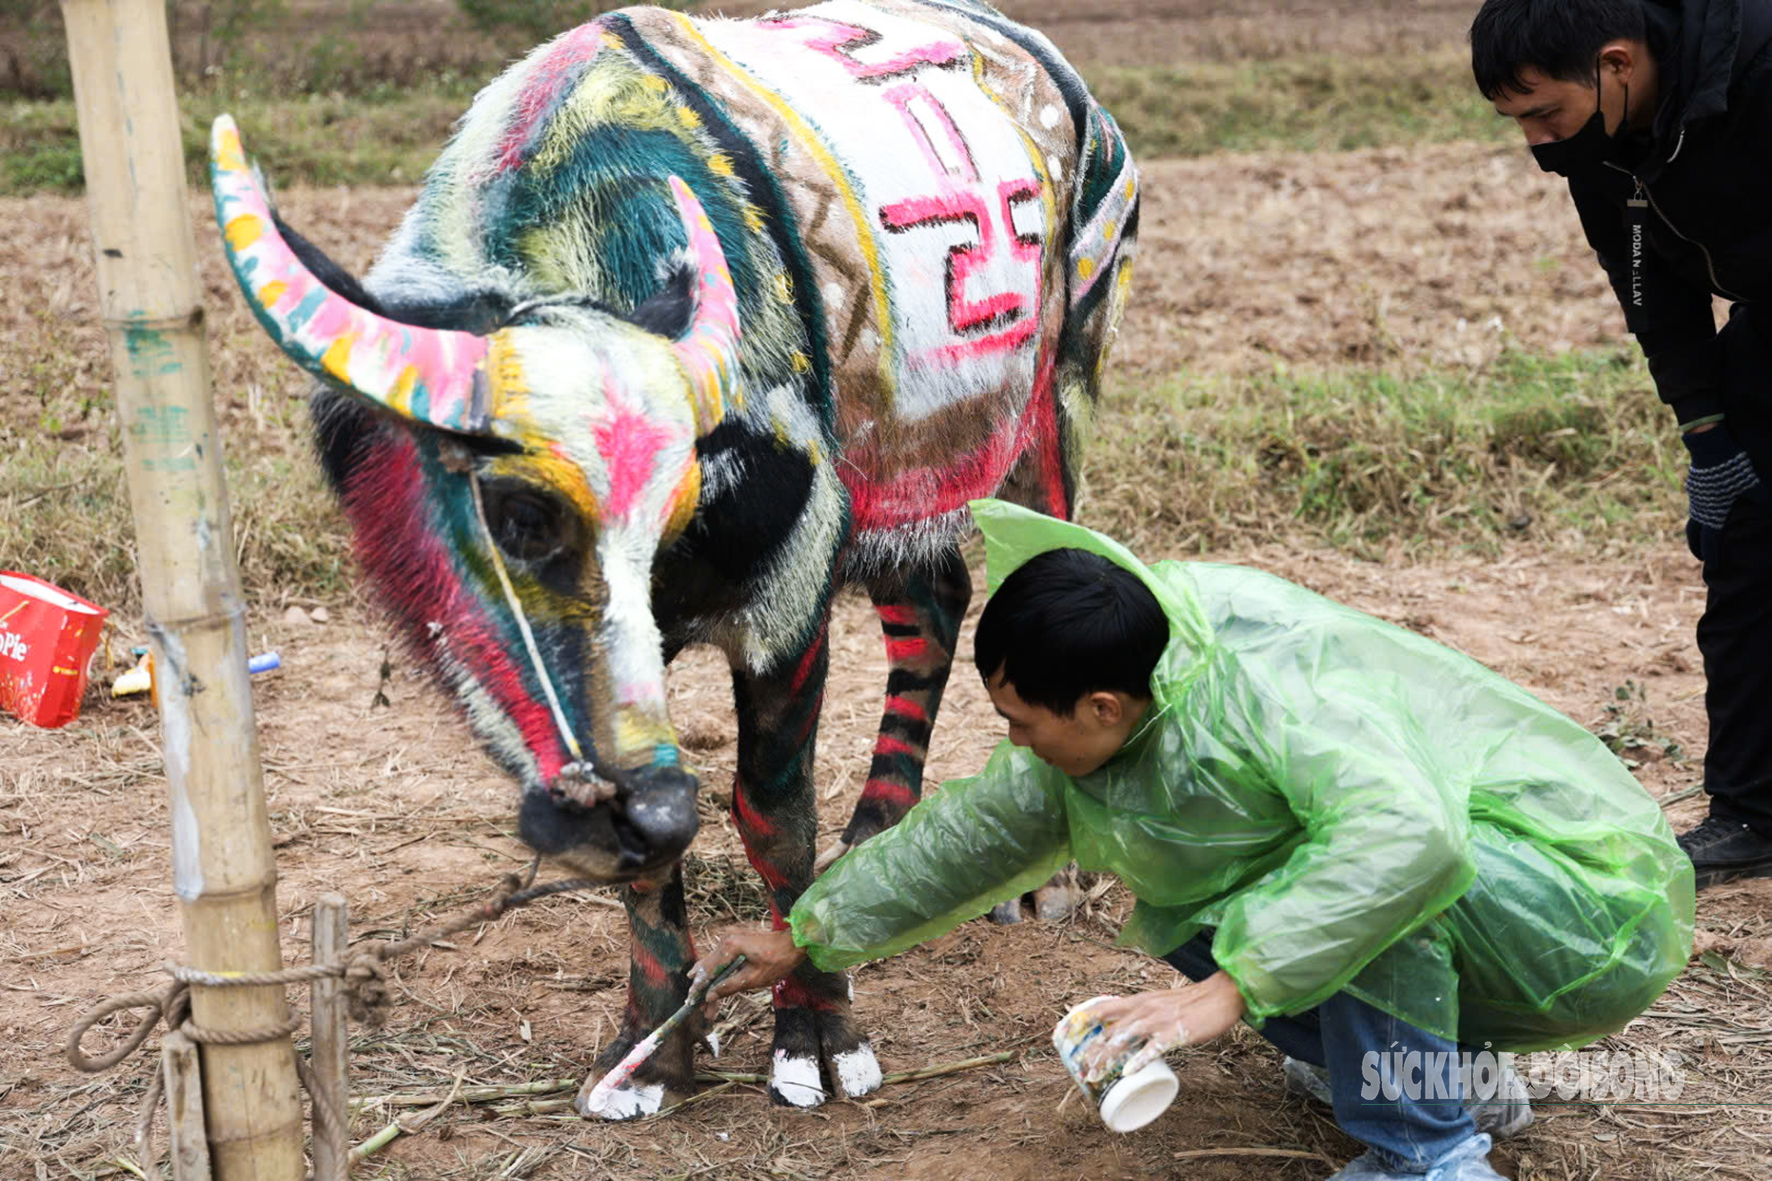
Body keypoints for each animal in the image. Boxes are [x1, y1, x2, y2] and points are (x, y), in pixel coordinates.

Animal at [210, 0, 1134, 1113]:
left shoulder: (789, 603)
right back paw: (879, 840)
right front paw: (649, 1044)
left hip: (1056, 407)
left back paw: (1042, 881)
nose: (644, 804)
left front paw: (817, 1028)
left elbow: (771, 815)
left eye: (675, 501)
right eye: (520, 514)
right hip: (900, 472)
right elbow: (648, 851)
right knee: (934, 600)